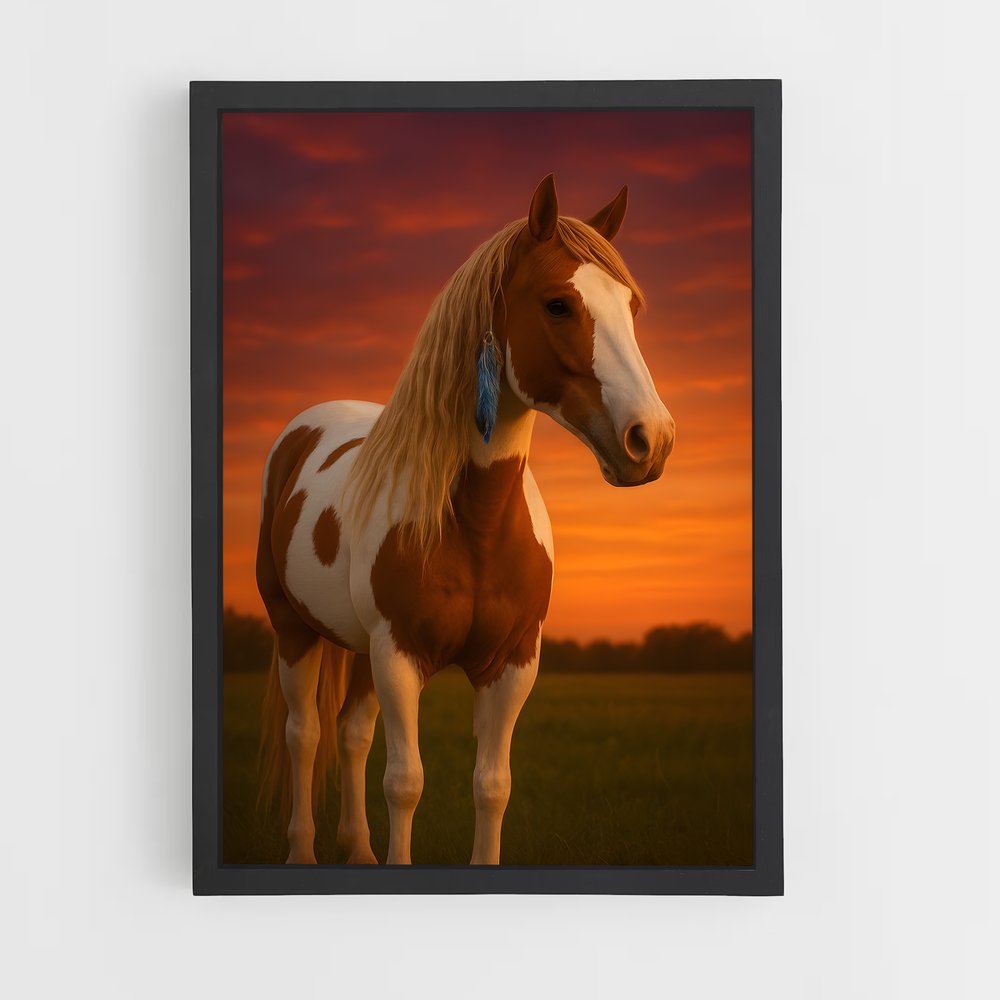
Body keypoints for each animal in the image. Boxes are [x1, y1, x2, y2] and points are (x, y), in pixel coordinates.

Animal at [256, 174, 676, 865]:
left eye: (631, 308)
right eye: (558, 305)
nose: (652, 440)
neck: (474, 523)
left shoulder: (511, 664)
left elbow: (491, 785)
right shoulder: (400, 655)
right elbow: (405, 783)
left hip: (360, 650)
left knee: (350, 733)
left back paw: (359, 851)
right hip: (295, 630)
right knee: (305, 735)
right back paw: (302, 853)